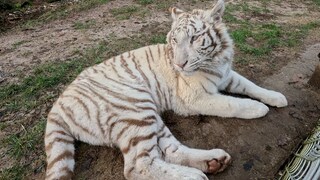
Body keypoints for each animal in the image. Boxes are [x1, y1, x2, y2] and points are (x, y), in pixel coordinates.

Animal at [43, 0, 286, 179]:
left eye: (195, 38)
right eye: (175, 40)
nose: (179, 65)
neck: (215, 59)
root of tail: (58, 106)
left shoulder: (226, 75)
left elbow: (250, 85)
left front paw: (277, 97)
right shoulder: (195, 97)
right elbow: (231, 103)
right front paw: (258, 108)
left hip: (147, 115)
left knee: (169, 151)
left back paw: (213, 162)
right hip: (134, 106)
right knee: (138, 165)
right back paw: (194, 176)